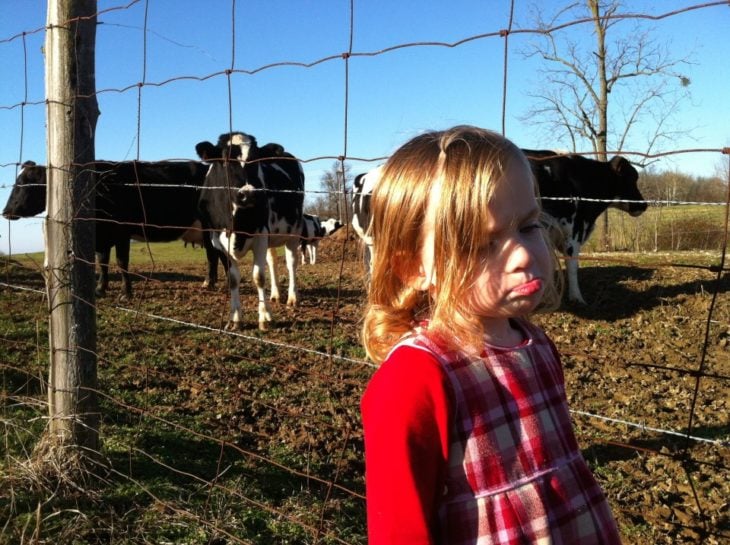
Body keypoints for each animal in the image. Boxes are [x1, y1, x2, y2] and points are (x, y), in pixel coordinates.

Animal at [0, 159, 225, 300]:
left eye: (24, 183)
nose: (5, 211)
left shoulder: (121, 233)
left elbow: (121, 262)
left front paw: (126, 293)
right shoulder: (102, 236)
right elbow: (103, 262)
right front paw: (101, 289)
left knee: (219, 256)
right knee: (214, 255)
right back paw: (209, 283)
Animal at [193, 131, 304, 332]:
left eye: (256, 159)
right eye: (225, 160)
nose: (249, 194)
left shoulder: (260, 235)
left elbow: (258, 277)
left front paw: (265, 317)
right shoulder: (218, 241)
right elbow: (233, 279)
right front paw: (236, 318)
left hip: (294, 230)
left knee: (292, 263)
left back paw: (292, 297)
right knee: (272, 261)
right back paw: (275, 294)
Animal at [352, 152, 644, 306]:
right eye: (631, 178)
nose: (643, 204)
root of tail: (370, 173)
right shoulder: (572, 228)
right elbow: (572, 265)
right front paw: (576, 298)